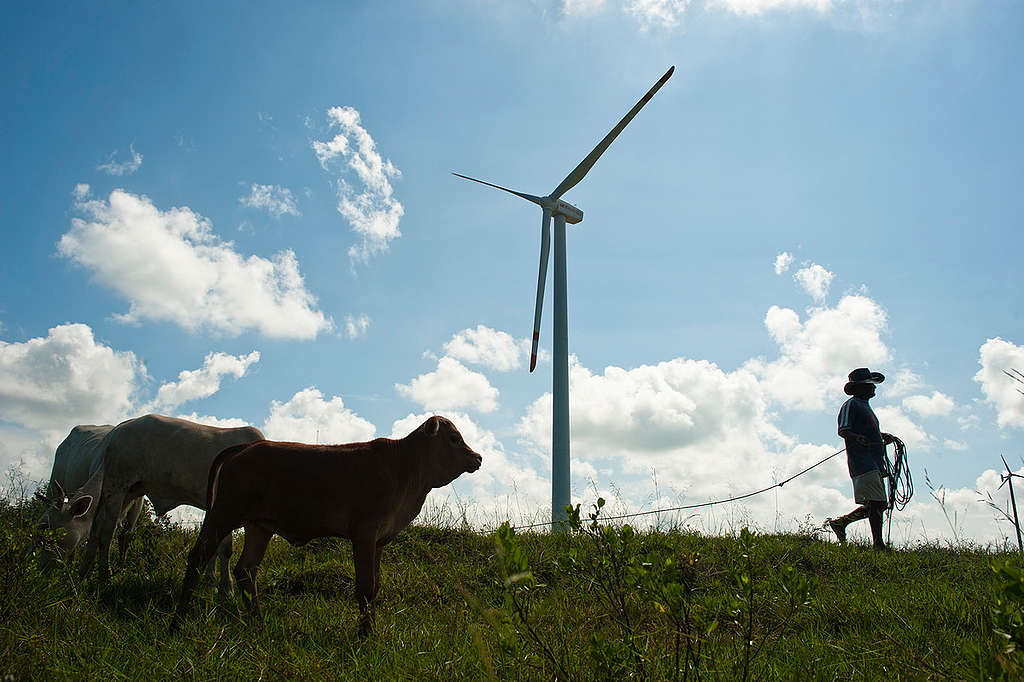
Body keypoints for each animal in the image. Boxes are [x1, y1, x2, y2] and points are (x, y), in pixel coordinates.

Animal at [55, 411, 264, 585]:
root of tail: (113, 434)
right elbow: (225, 548)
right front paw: (225, 589)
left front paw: (211, 583)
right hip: (116, 487)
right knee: (107, 533)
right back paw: (104, 576)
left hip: (126, 491)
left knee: (98, 530)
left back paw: (83, 573)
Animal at [169, 413, 481, 630]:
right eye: (454, 438)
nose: (477, 457)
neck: (406, 470)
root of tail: (249, 447)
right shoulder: (364, 534)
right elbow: (365, 588)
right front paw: (365, 635)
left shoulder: (380, 541)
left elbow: (375, 587)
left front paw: (371, 630)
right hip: (224, 514)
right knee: (197, 558)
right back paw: (177, 623)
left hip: (260, 526)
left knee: (246, 569)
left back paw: (258, 624)